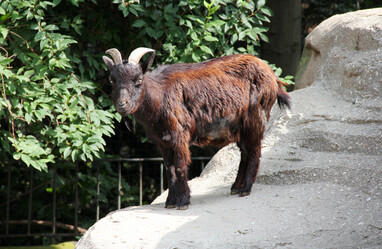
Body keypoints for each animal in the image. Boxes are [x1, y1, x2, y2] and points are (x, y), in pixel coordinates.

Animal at [101, 47, 290, 210]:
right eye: (112, 80)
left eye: (138, 80)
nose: (122, 104)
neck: (160, 96)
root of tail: (272, 75)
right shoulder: (163, 141)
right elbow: (169, 169)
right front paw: (170, 202)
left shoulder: (179, 135)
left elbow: (180, 166)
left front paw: (183, 202)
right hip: (241, 127)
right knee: (245, 151)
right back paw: (236, 187)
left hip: (256, 118)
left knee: (255, 150)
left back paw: (246, 189)